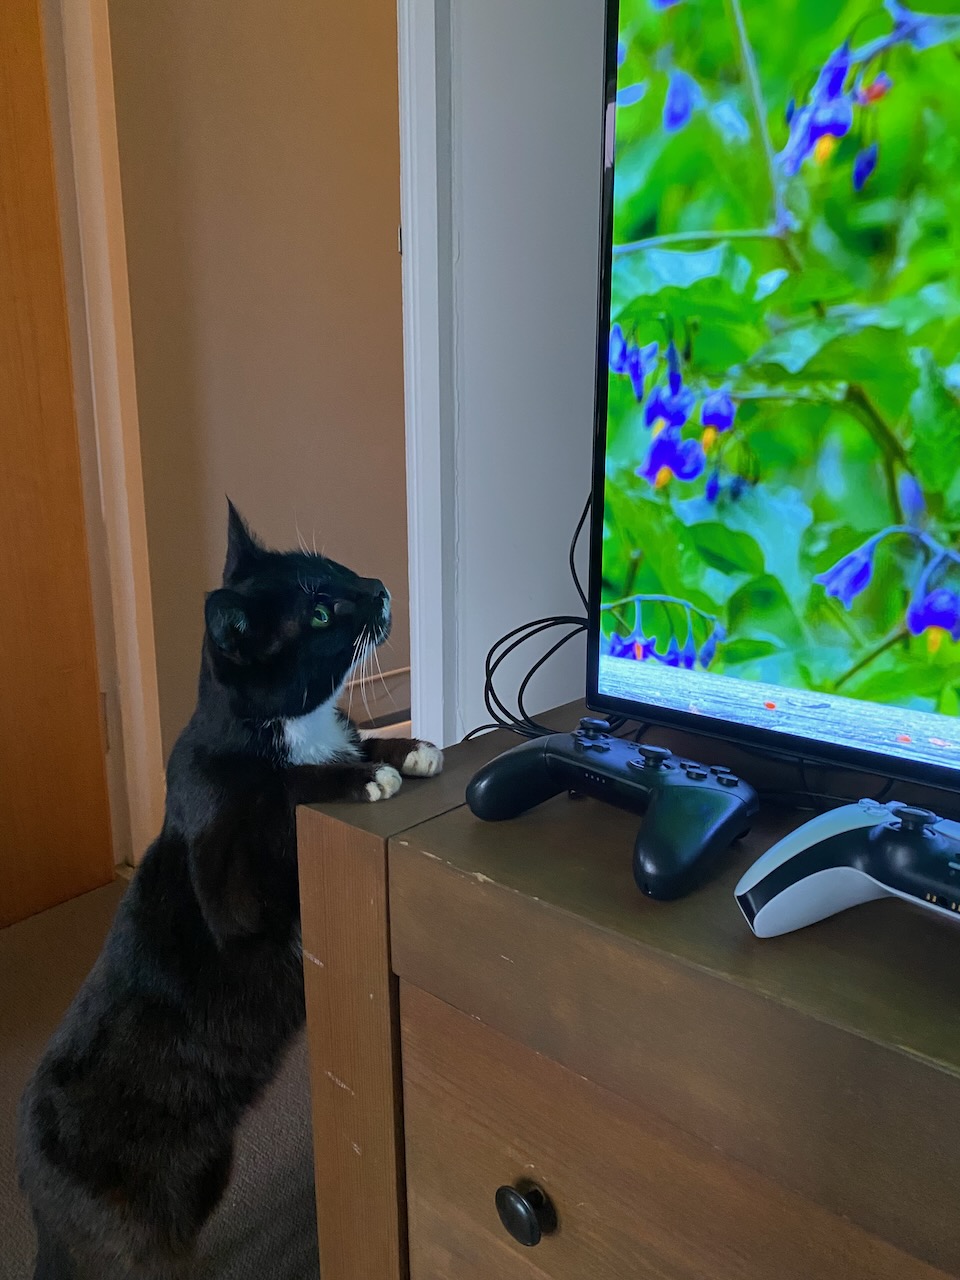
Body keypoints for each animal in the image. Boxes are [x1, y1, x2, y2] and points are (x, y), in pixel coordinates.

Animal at [16, 506, 442, 1280]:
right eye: (320, 612)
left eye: (335, 570)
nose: (376, 586)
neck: (294, 727)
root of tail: (33, 1196)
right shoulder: (227, 885)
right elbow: (278, 792)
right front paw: (360, 775)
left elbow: (359, 741)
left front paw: (407, 748)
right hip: (138, 1233)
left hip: (202, 1173)